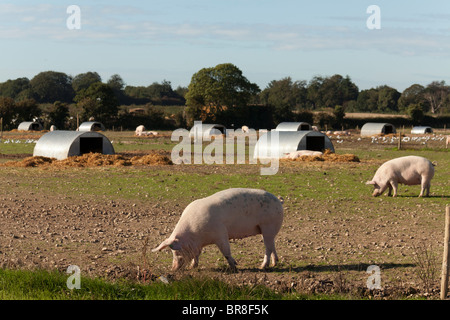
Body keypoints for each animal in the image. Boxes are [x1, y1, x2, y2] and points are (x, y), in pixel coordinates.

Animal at [153, 188, 284, 272]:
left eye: (176, 251)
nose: (173, 269)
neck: (194, 236)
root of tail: (279, 201)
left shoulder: (221, 233)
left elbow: (226, 251)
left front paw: (234, 267)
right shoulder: (198, 244)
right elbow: (197, 254)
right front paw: (192, 267)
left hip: (268, 226)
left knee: (268, 248)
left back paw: (263, 266)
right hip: (267, 230)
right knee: (272, 245)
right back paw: (274, 263)